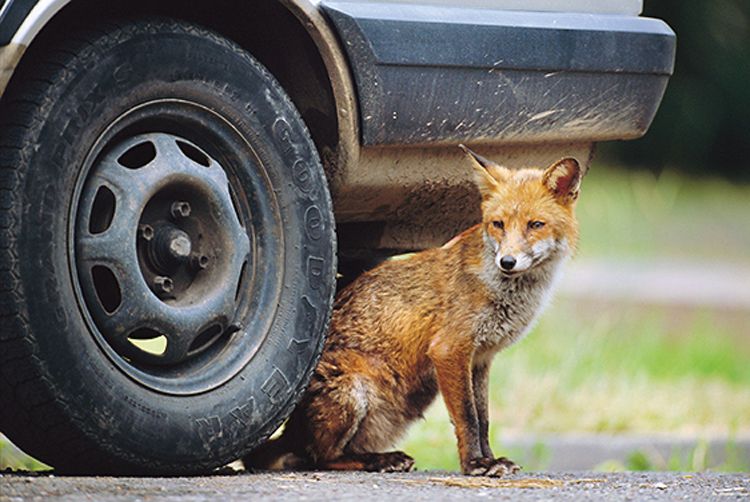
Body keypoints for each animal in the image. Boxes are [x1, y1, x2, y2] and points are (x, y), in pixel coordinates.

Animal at [244, 146, 584, 478]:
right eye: (498, 224)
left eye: (535, 225)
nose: (508, 262)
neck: (506, 292)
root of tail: (290, 429)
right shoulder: (449, 349)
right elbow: (467, 418)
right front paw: (475, 464)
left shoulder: (481, 358)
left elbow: (484, 419)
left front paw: (491, 459)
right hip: (353, 390)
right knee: (318, 457)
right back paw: (378, 461)